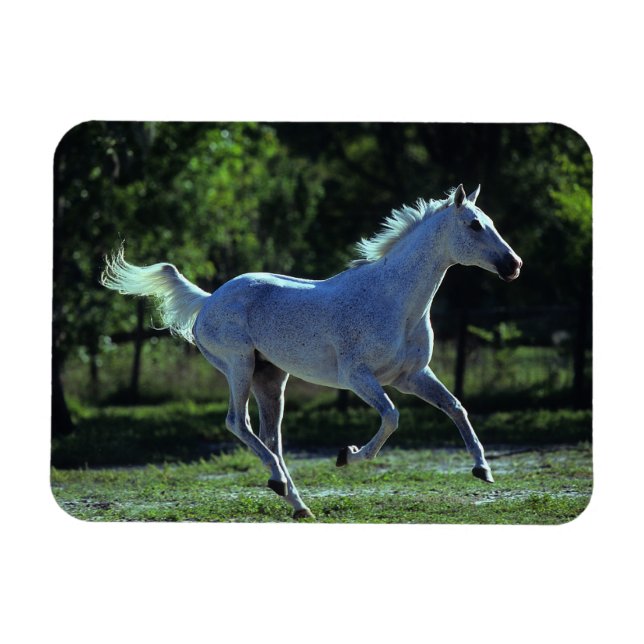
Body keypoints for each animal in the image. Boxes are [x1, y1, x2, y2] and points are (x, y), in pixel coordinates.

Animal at [101, 184, 522, 520]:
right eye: (474, 225)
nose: (514, 265)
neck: (394, 299)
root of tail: (208, 301)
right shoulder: (358, 377)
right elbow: (392, 417)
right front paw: (347, 455)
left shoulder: (411, 376)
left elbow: (456, 408)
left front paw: (483, 470)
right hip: (239, 366)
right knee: (238, 424)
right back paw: (280, 484)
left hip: (271, 379)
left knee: (271, 437)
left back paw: (297, 502)